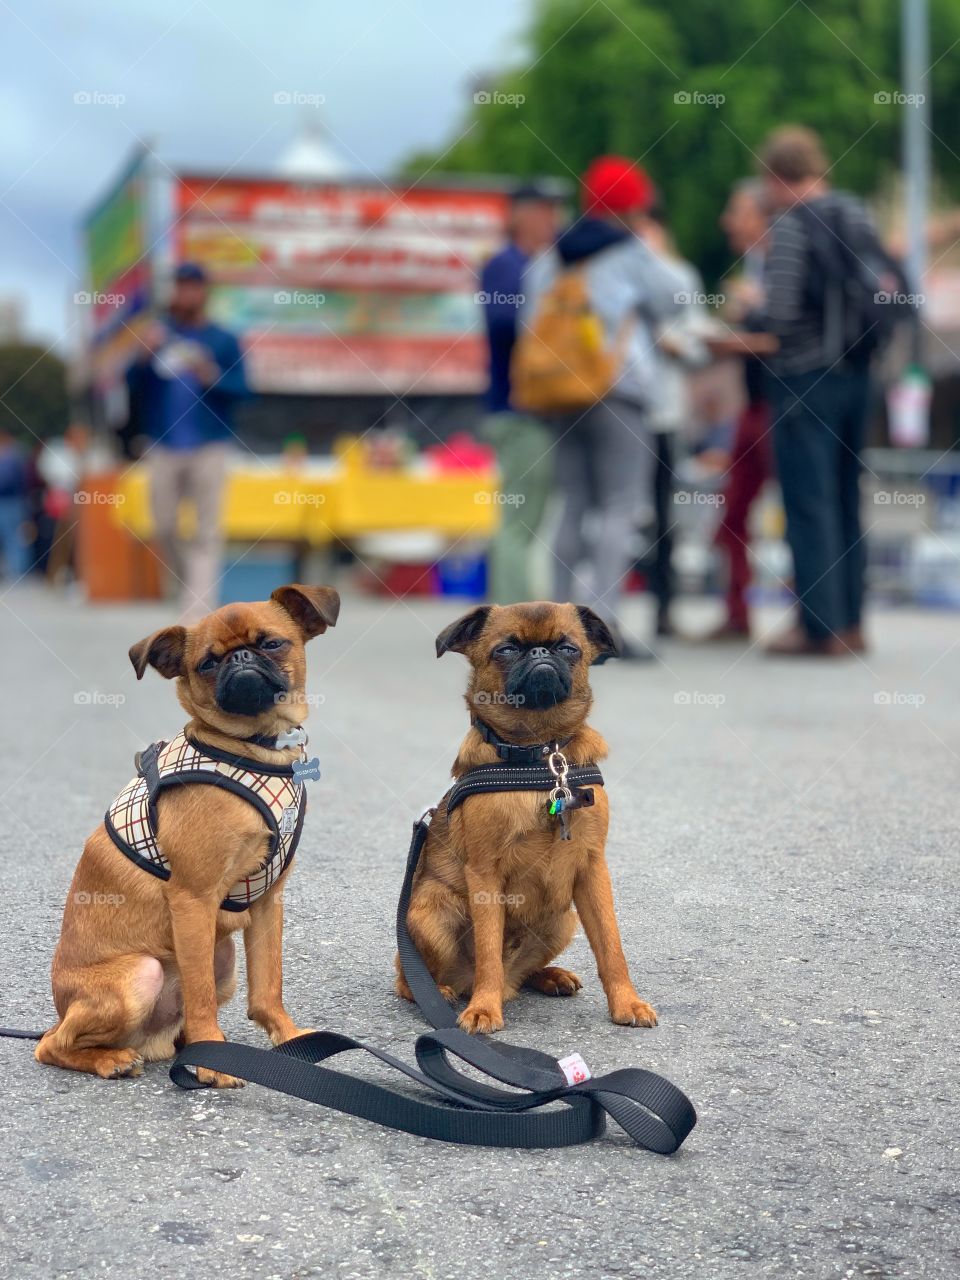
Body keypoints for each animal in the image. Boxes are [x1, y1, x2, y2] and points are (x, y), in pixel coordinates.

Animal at [394, 604, 660, 1034]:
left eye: (569, 648)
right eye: (505, 650)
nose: (539, 653)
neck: (540, 754)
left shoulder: (593, 869)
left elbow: (611, 946)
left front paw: (627, 1002)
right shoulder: (485, 874)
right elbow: (488, 950)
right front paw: (484, 1009)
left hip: (562, 919)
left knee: (522, 972)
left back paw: (550, 976)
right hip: (429, 909)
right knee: (411, 973)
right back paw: (442, 993)